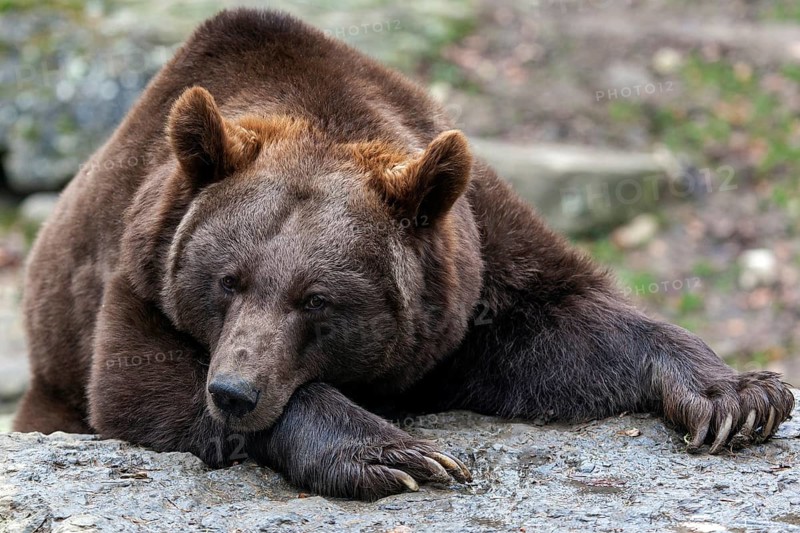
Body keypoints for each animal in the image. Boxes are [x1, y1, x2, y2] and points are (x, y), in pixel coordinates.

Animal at [13, 8, 794, 500]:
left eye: (316, 298)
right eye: (226, 281)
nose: (234, 390)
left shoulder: (469, 268)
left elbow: (568, 322)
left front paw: (739, 396)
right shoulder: (142, 264)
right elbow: (138, 379)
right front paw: (392, 452)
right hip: (51, 381)